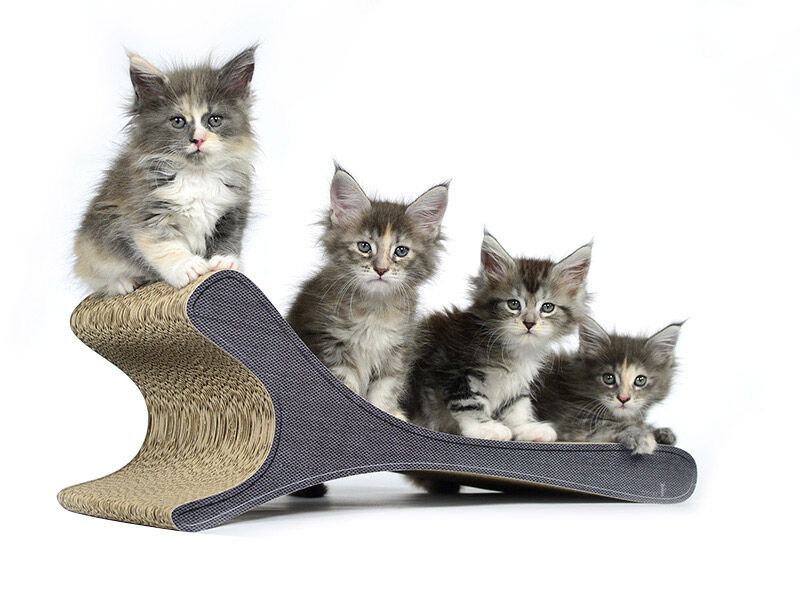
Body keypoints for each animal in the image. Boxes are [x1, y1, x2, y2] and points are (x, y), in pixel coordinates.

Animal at [74, 47, 258, 296]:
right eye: (178, 121)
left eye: (214, 120)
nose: (198, 139)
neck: (196, 175)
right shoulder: (146, 210)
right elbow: (164, 246)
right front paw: (188, 267)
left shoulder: (232, 211)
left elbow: (229, 240)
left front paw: (225, 261)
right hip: (92, 245)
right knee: (97, 276)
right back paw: (124, 282)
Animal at [286, 166, 448, 498]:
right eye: (364, 247)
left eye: (401, 251)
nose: (381, 269)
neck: (375, 308)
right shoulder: (332, 344)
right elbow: (347, 386)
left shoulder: (397, 351)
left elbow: (385, 390)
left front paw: (389, 416)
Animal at [401, 232, 592, 444]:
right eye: (514, 304)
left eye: (547, 307)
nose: (529, 323)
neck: (513, 349)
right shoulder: (452, 367)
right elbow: (468, 401)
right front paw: (483, 428)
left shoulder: (517, 382)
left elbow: (517, 405)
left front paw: (526, 427)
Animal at [535, 317, 683, 454]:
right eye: (609, 378)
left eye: (640, 380)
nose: (623, 398)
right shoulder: (568, 423)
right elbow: (608, 424)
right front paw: (640, 435)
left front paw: (660, 432)